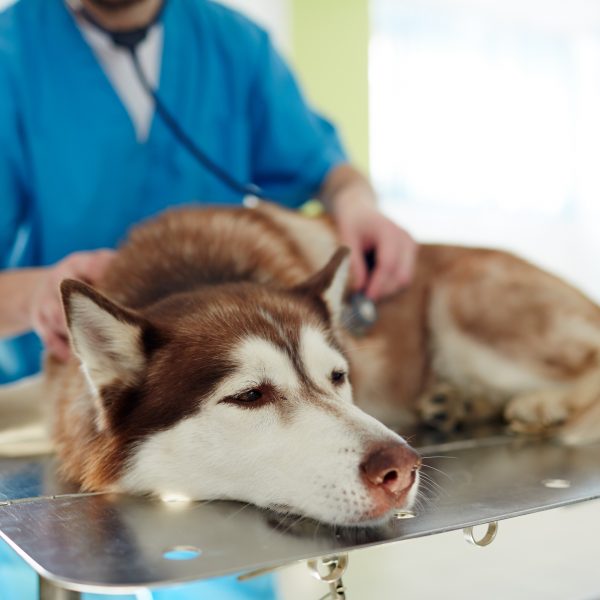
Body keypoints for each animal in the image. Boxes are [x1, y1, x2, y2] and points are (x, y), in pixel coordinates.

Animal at [4, 203, 600, 524]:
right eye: (250, 395)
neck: (193, 272)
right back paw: (457, 404)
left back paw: (540, 405)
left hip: (462, 301)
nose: (403, 468)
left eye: (337, 378)